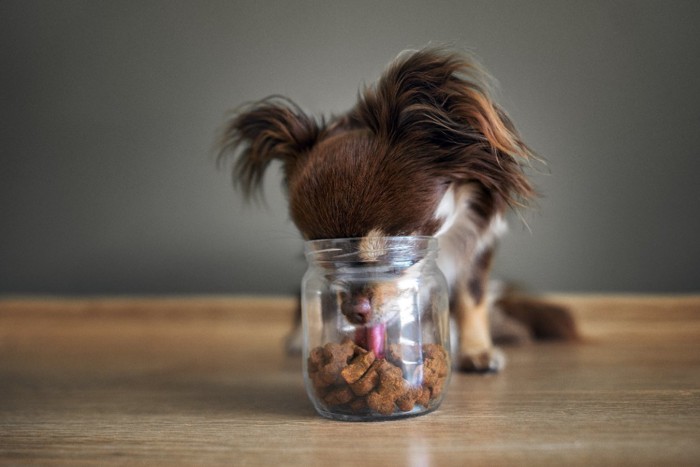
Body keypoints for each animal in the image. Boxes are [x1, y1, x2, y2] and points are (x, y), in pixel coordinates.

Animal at [217, 45, 576, 372]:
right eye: (326, 259)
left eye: (395, 253)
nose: (353, 312)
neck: (443, 239)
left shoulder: (478, 242)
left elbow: (472, 297)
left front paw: (477, 351)